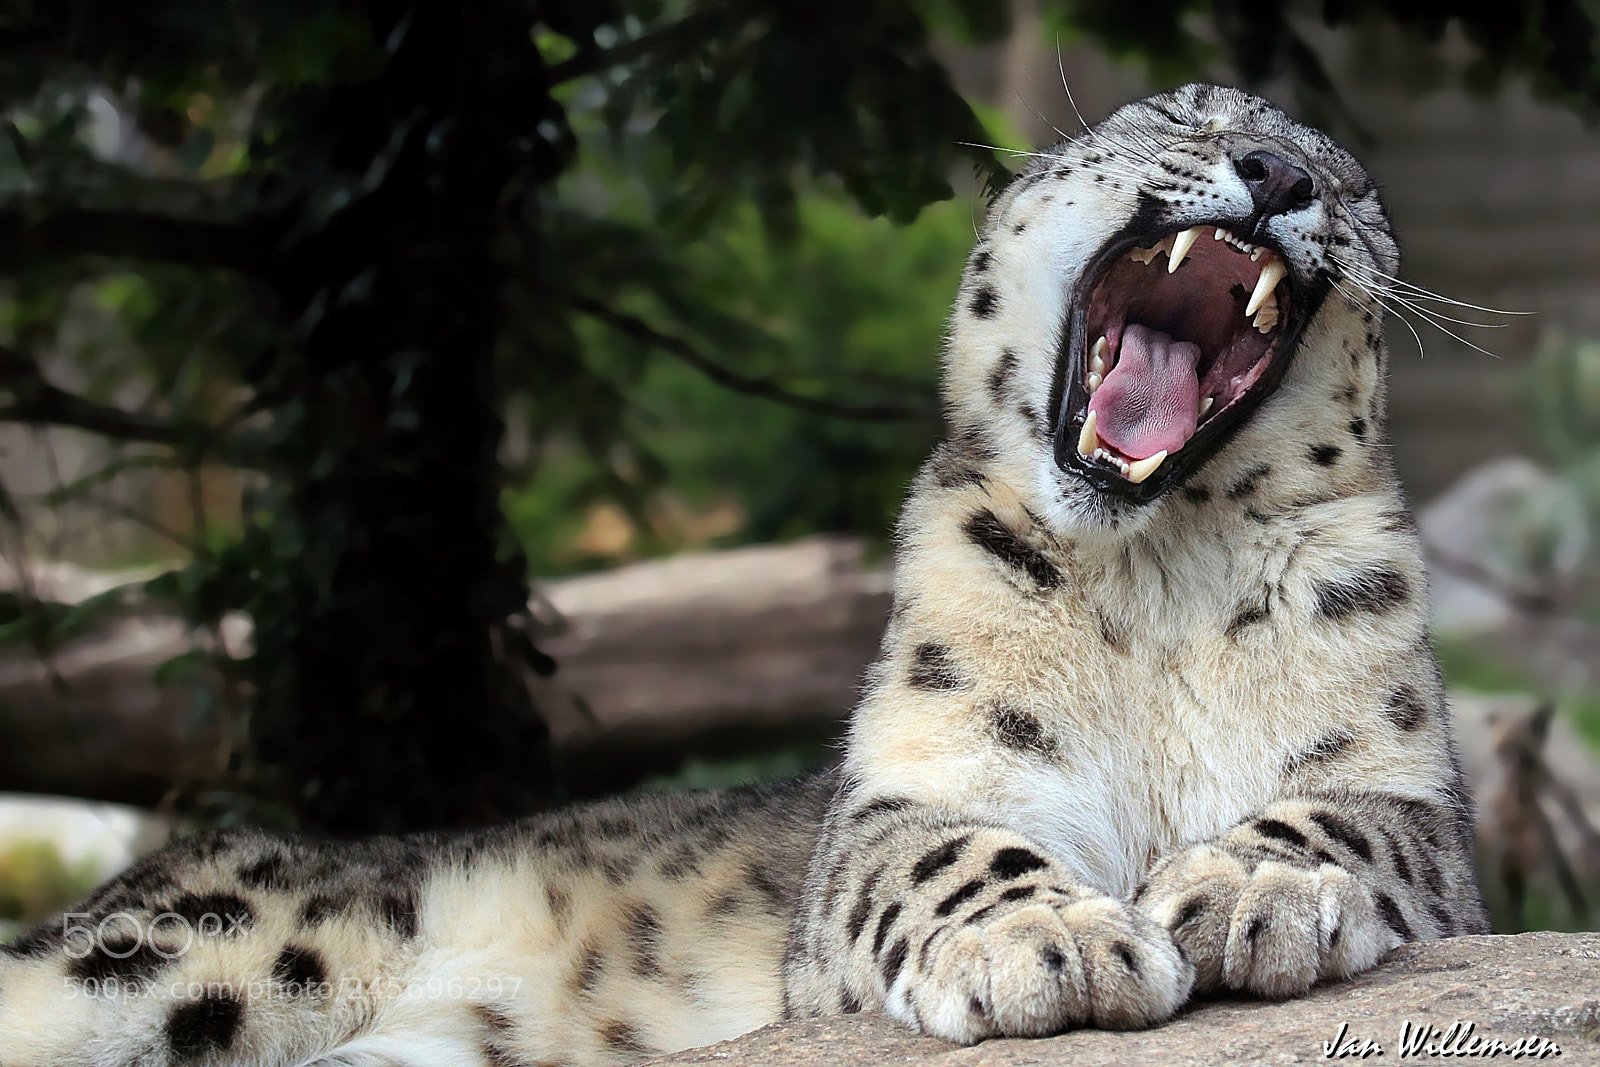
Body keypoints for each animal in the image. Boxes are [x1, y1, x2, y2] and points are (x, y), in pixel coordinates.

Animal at [0, 83, 1488, 1067]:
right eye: (1174, 117)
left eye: (1350, 184)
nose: (1274, 170)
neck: (1154, 576)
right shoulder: (921, 779)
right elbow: (945, 848)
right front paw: (1051, 946)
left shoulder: (1411, 789)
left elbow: (1349, 817)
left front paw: (1251, 890)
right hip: (189, 947)